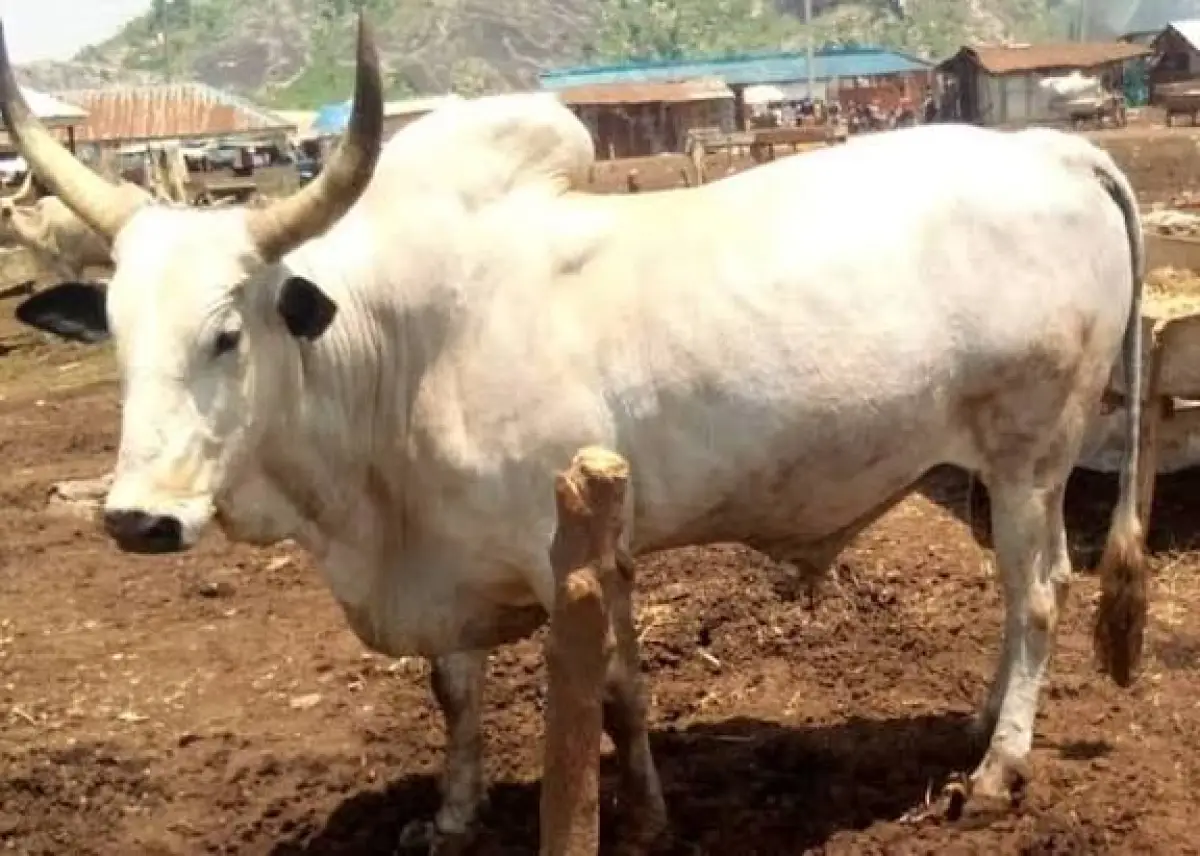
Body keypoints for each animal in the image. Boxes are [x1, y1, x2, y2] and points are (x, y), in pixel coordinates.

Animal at [1, 14, 1148, 853]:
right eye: (114, 333)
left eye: (227, 333)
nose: (138, 519)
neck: (399, 351)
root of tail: (1054, 148)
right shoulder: (465, 561)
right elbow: (456, 693)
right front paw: (452, 817)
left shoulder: (581, 554)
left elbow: (613, 696)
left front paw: (642, 818)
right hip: (992, 466)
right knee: (1020, 591)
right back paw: (981, 723)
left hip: (1033, 451)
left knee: (1039, 592)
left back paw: (999, 767)